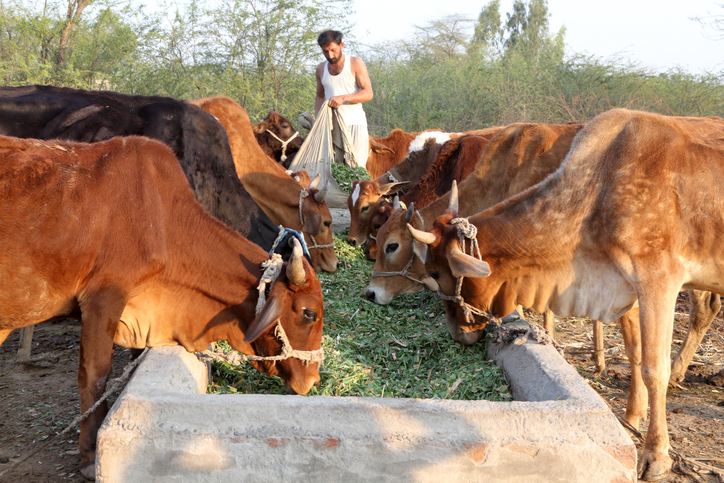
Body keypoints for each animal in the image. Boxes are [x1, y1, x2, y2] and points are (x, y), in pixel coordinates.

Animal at [0, 134, 325, 479]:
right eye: (309, 313)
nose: (313, 380)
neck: (162, 222)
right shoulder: (103, 300)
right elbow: (94, 376)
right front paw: (89, 455)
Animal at [407, 109, 724, 480]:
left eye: (436, 272)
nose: (457, 333)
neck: (600, 189)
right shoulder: (626, 286)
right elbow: (634, 354)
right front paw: (632, 418)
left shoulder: (659, 281)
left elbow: (652, 368)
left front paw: (656, 455)